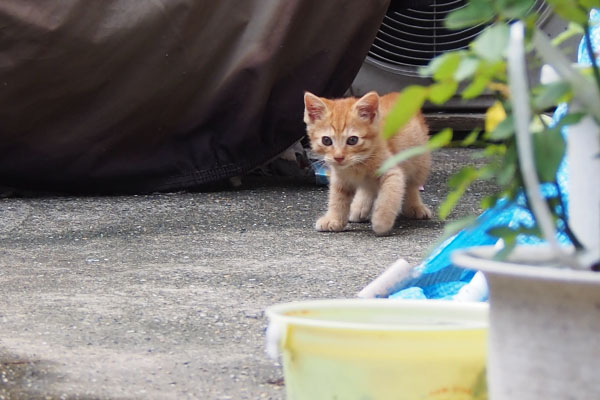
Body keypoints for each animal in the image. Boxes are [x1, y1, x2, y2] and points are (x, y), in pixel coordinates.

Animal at [304, 90, 432, 234]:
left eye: (352, 140)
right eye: (326, 140)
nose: (338, 157)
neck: (357, 165)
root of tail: (397, 94)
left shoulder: (393, 173)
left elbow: (388, 196)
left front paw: (382, 222)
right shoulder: (340, 177)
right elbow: (337, 198)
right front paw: (334, 219)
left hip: (420, 162)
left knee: (411, 185)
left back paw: (415, 206)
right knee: (368, 188)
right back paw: (359, 207)